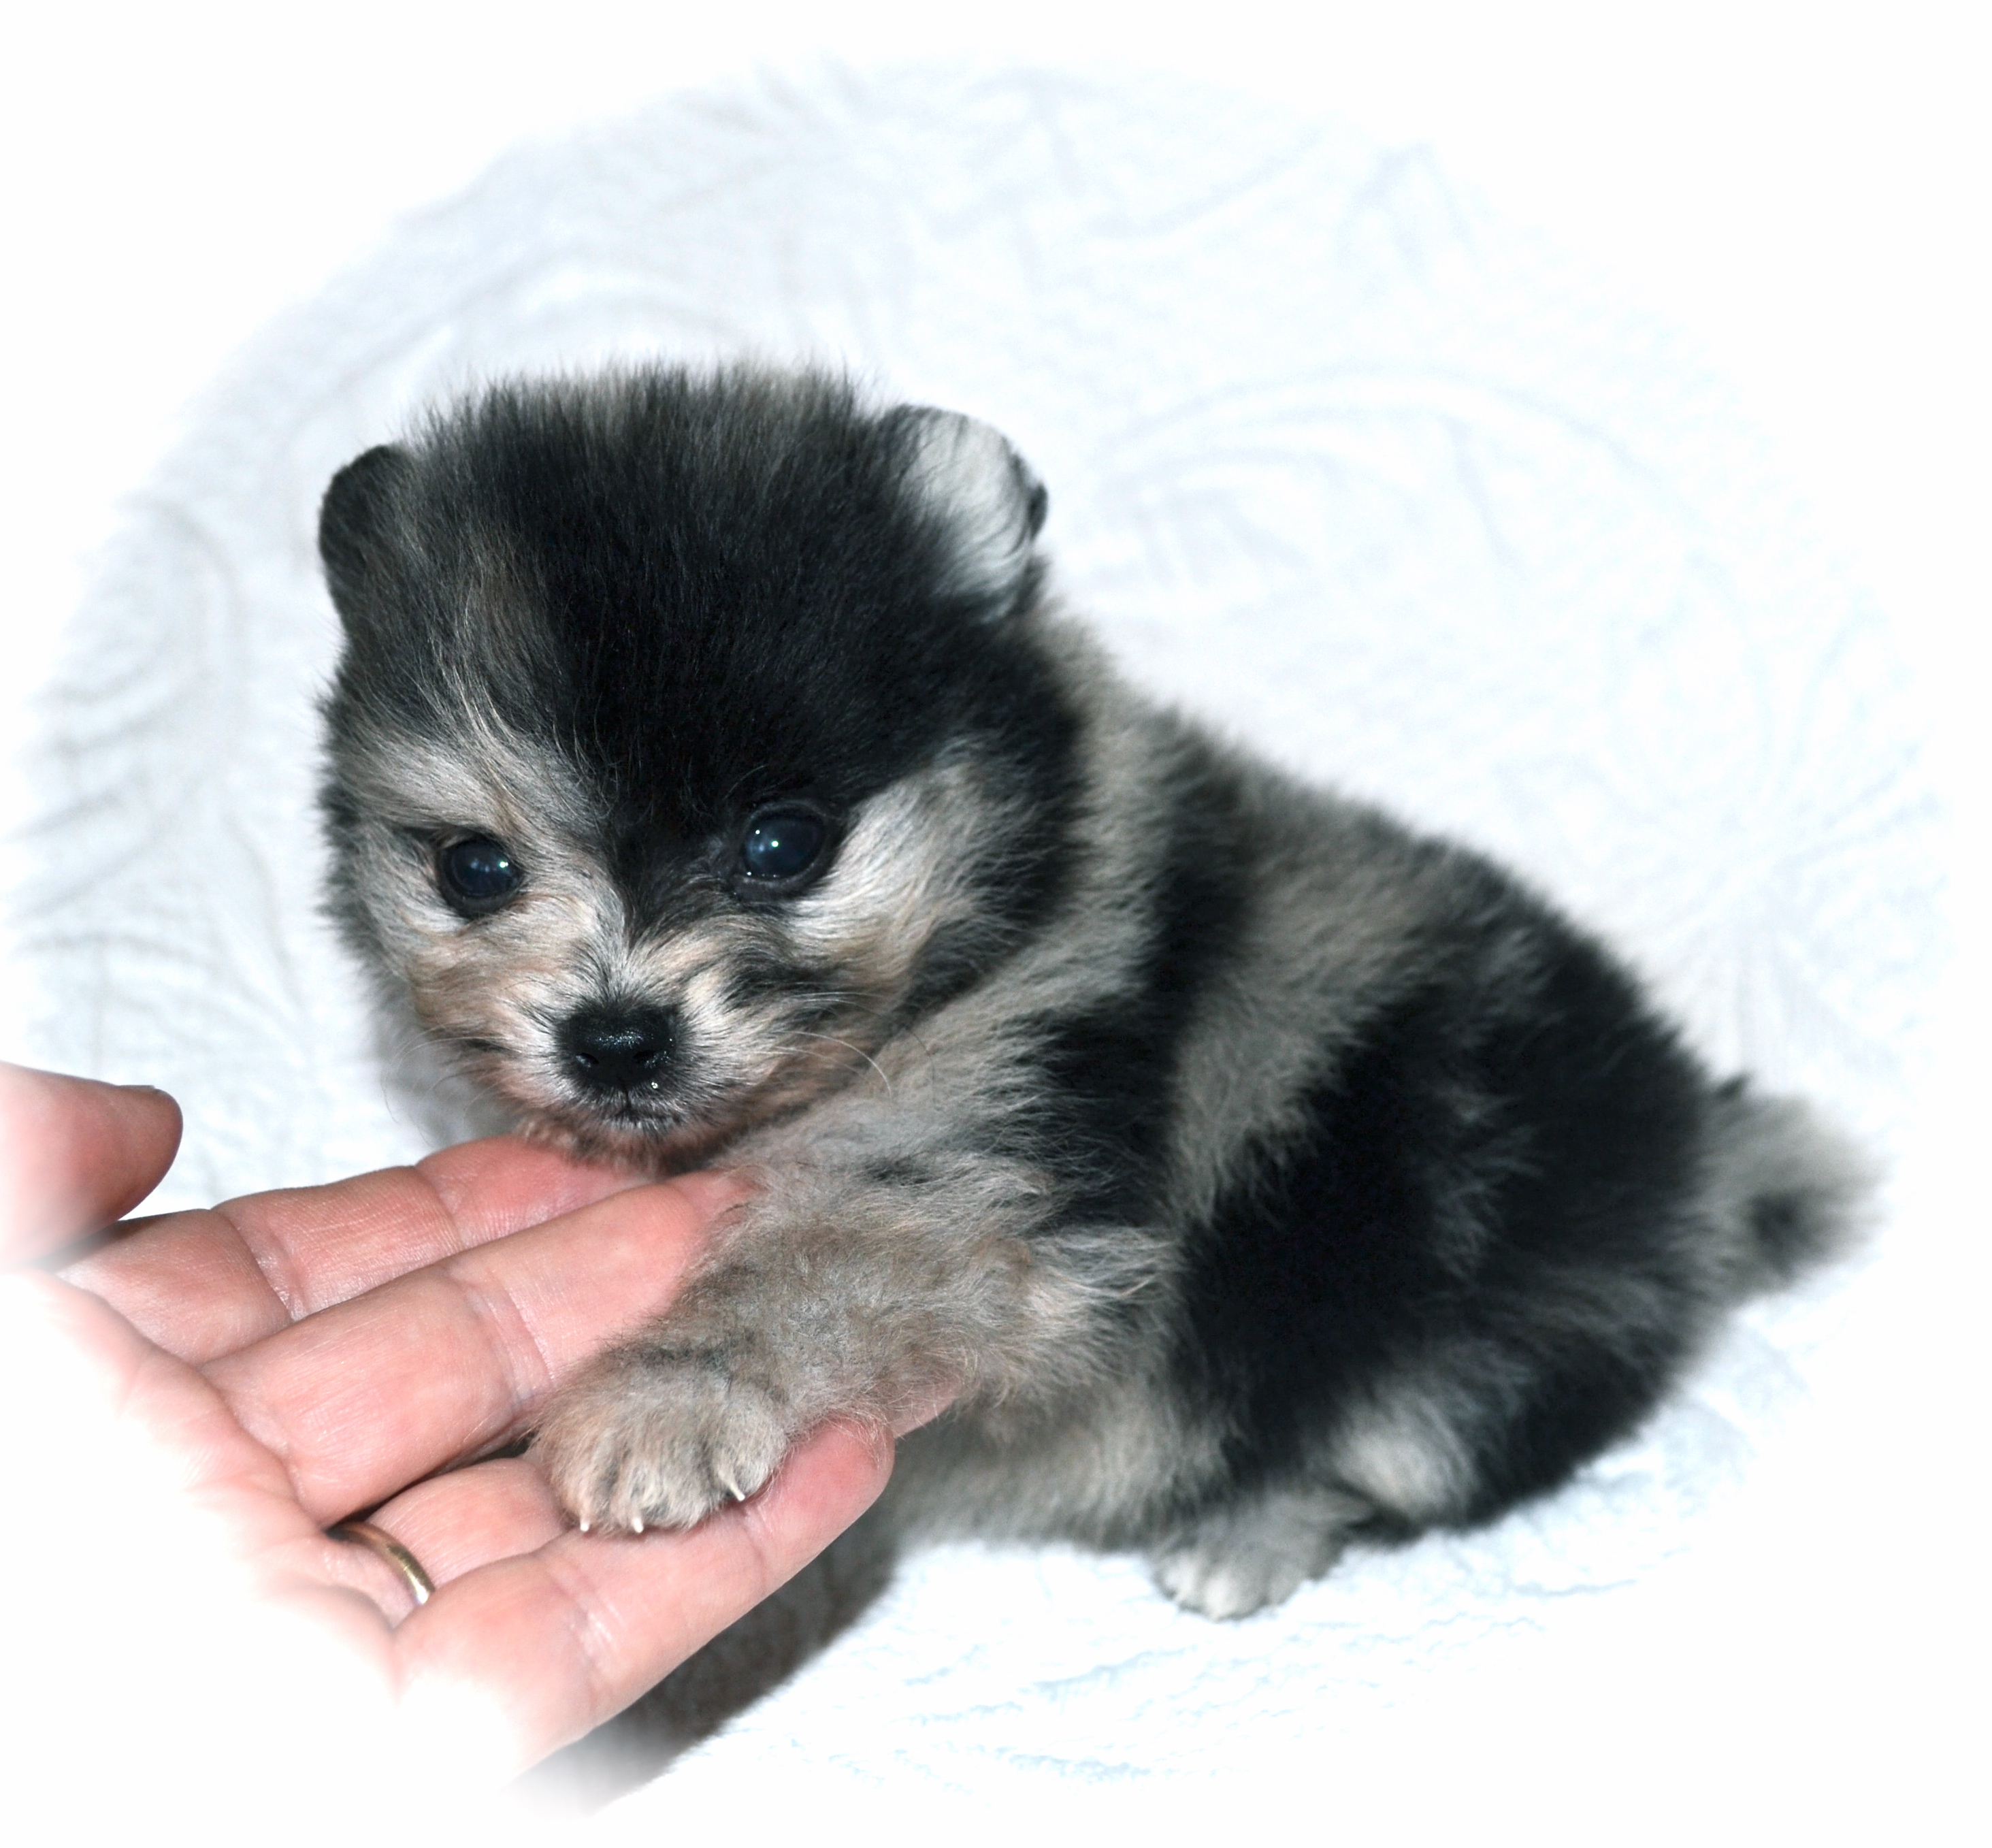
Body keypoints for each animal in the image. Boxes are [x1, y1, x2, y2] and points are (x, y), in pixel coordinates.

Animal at [318, 365, 1862, 1622]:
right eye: (473, 866)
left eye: (781, 844)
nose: (617, 1037)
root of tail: (1700, 1148)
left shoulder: (987, 1194)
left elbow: (810, 1263)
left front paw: (675, 1392)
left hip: (1459, 1350)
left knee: (1375, 1451)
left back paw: (1242, 1534)